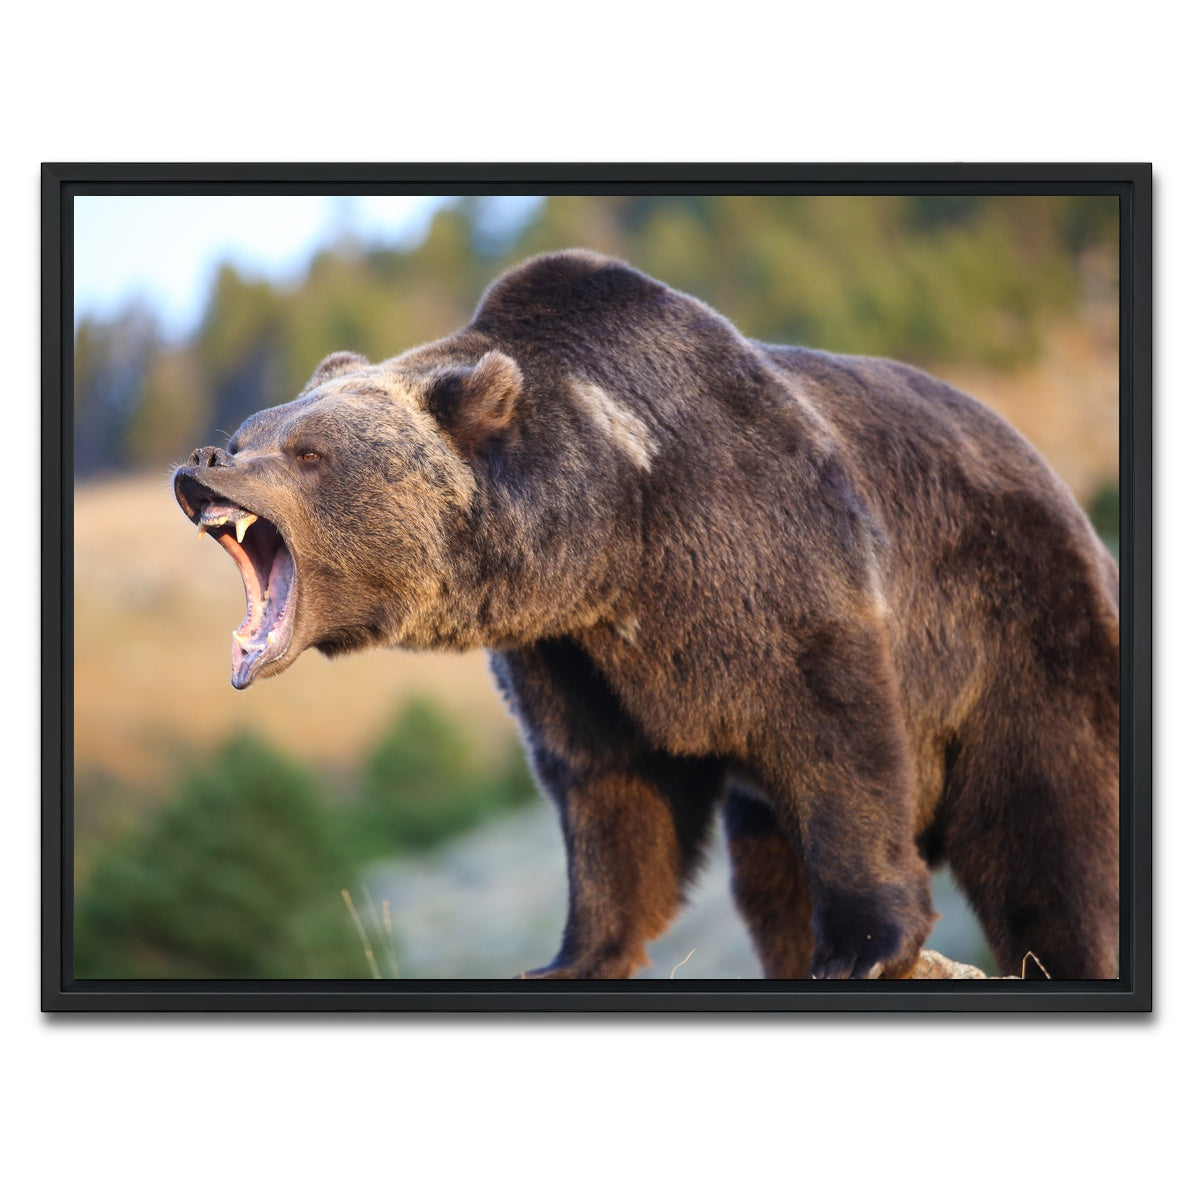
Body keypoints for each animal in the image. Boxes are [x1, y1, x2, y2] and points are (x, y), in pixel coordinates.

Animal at [173, 249, 1120, 981]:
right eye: (252, 430)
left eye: (307, 452)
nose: (203, 461)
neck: (614, 536)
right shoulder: (572, 655)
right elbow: (608, 791)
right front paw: (570, 956)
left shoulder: (769, 554)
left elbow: (838, 738)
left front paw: (863, 943)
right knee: (769, 877)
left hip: (1022, 633)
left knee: (1050, 839)